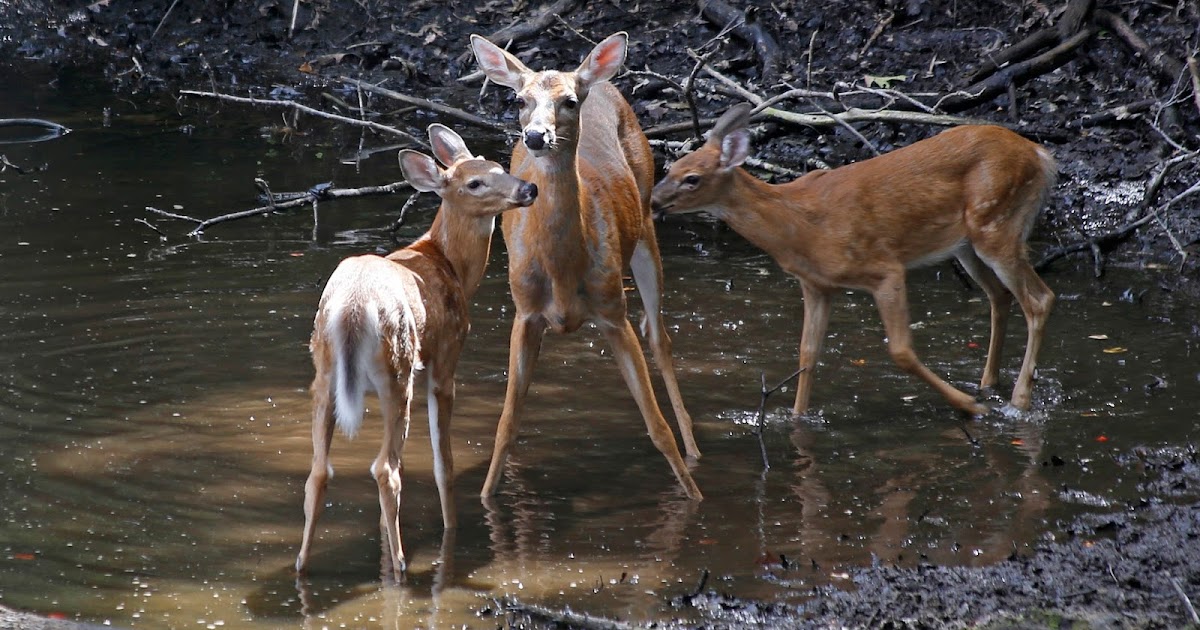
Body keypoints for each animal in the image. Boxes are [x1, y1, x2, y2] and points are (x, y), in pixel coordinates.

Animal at [296, 123, 538, 579]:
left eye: (499, 166)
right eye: (474, 183)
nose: (528, 188)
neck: (451, 265)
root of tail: (353, 308)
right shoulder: (445, 362)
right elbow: (443, 463)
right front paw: (451, 528)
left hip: (324, 374)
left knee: (320, 470)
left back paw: (302, 564)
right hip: (399, 370)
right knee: (384, 468)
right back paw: (403, 566)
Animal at [469, 32, 702, 500]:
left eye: (569, 101)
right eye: (519, 99)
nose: (535, 136)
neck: (562, 271)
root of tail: (602, 82)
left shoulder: (613, 309)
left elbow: (657, 426)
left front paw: (696, 499)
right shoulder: (525, 312)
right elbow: (506, 425)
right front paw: (485, 499)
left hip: (646, 222)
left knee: (660, 335)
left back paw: (694, 449)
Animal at [651, 103, 1057, 417]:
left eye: (692, 178)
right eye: (670, 167)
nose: (653, 200)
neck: (798, 227)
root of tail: (1041, 155)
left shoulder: (884, 269)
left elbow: (901, 351)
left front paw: (969, 407)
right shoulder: (816, 285)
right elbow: (807, 355)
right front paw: (797, 418)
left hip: (997, 224)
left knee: (1040, 299)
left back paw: (1018, 400)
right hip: (966, 243)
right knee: (1000, 296)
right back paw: (988, 383)